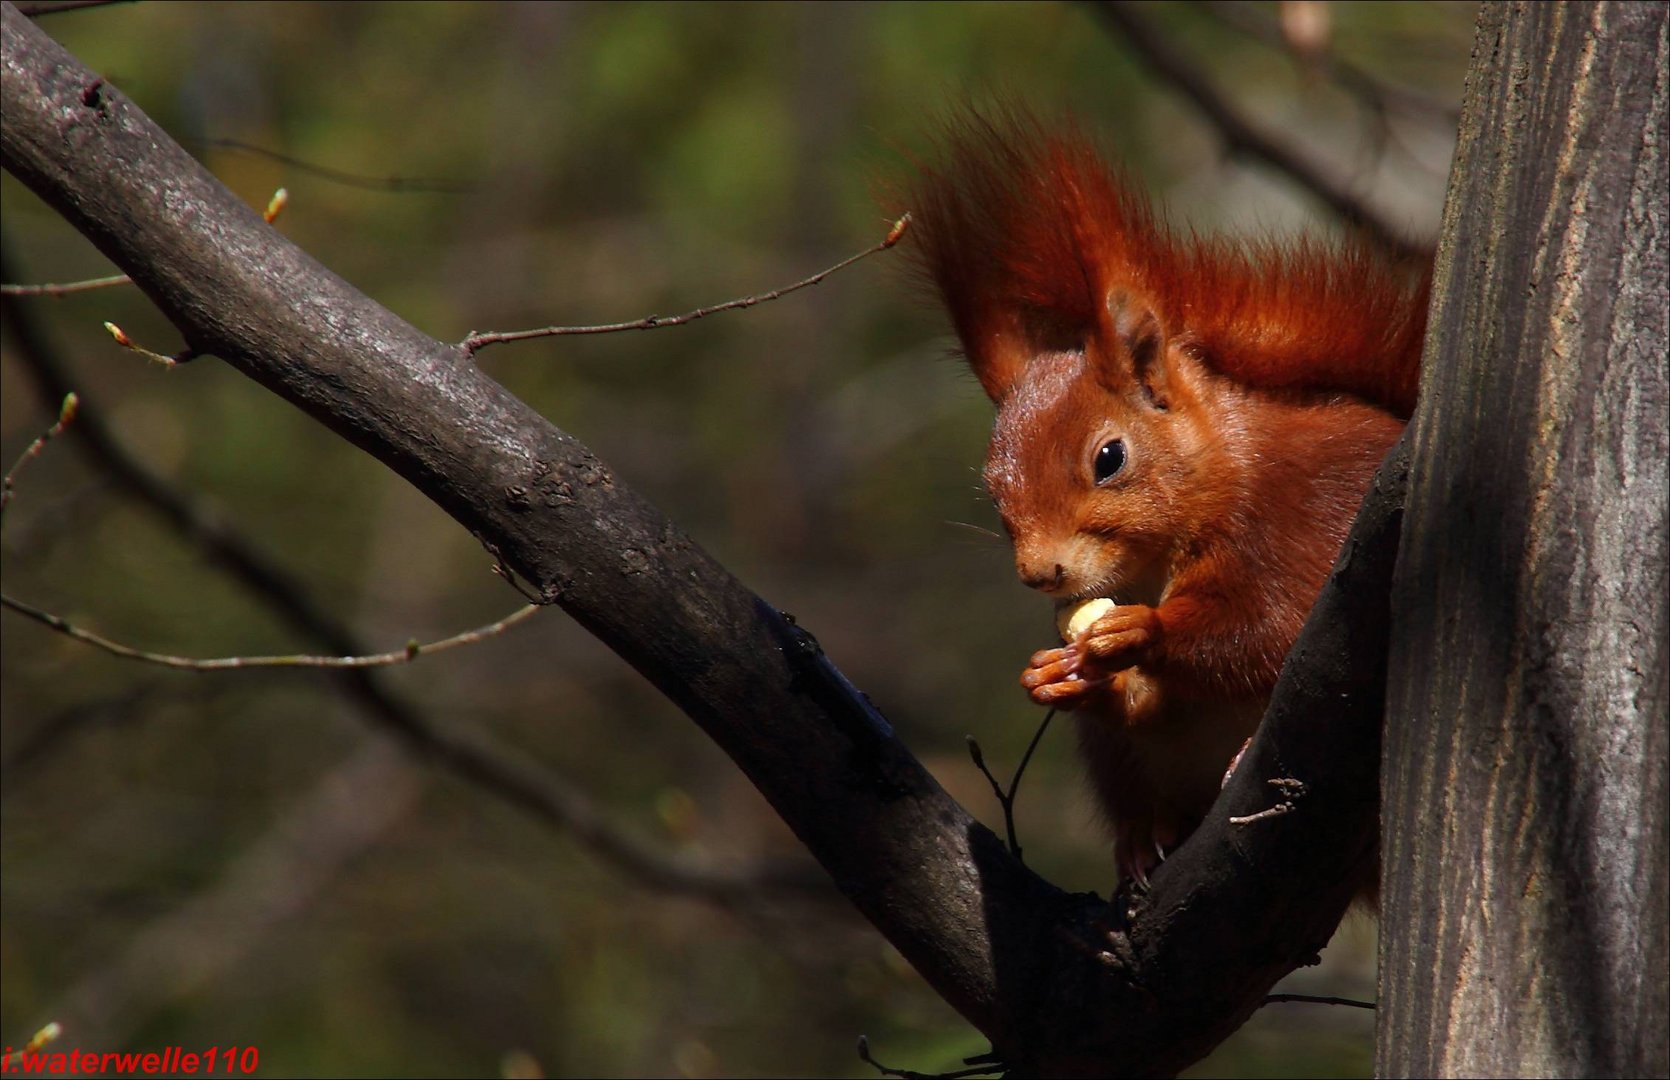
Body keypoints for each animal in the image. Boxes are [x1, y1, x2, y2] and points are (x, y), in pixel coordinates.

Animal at [908, 118, 1429, 894]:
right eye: (993, 490)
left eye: (1109, 458)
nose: (1040, 574)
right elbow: (1148, 704)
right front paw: (1063, 674)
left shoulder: (1296, 527)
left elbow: (1264, 629)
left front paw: (1143, 632)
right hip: (1121, 767)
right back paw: (1143, 837)